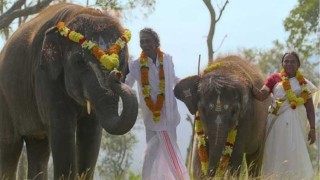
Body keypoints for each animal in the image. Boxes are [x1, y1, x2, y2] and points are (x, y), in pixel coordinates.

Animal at [0, 2, 138, 180]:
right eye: (79, 62)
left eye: (122, 62)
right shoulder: (44, 74)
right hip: (5, 99)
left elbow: (91, 132)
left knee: (38, 145)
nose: (116, 74)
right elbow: (62, 129)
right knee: (10, 145)